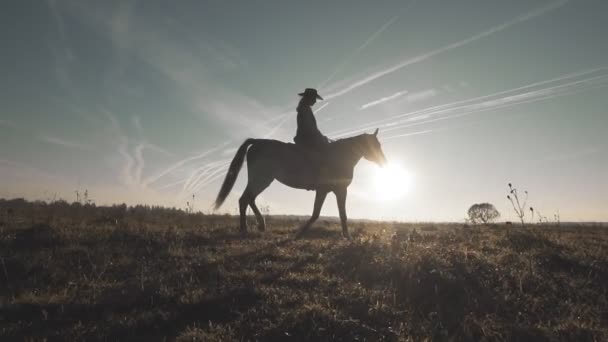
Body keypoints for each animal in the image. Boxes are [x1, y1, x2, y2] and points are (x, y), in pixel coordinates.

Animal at [213, 128, 384, 238]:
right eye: (375, 145)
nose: (384, 162)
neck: (340, 156)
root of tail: (257, 142)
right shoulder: (333, 190)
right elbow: (324, 214)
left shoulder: (331, 191)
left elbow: (333, 214)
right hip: (262, 179)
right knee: (244, 199)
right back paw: (244, 229)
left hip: (261, 180)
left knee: (250, 199)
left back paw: (261, 225)